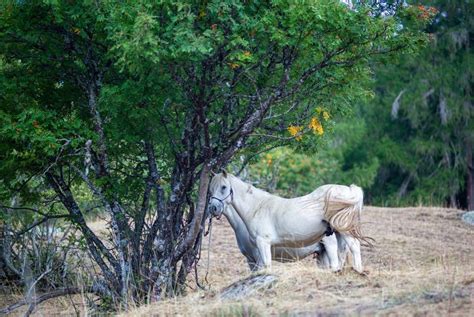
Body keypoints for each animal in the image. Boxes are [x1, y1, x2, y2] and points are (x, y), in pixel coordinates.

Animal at [208, 170, 366, 272]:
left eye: (224, 187)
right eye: (210, 189)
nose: (213, 208)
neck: (258, 207)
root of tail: (349, 190)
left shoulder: (262, 245)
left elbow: (267, 266)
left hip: (339, 235)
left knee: (354, 246)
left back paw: (358, 270)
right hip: (335, 236)